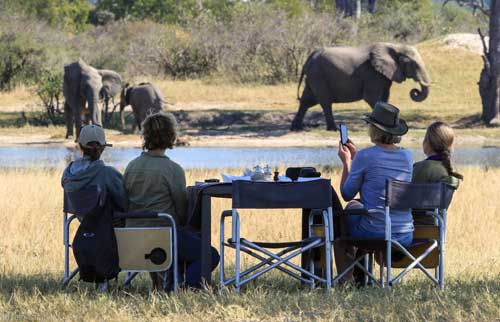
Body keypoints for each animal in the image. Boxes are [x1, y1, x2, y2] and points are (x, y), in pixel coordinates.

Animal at [292, 42, 432, 131]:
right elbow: (371, 98)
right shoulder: (372, 74)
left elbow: (385, 98)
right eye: (413, 64)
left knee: (306, 100)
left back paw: (296, 128)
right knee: (325, 102)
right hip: (318, 75)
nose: (415, 91)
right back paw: (333, 129)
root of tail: (308, 58)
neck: (395, 46)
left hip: (313, 76)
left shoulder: (384, 75)